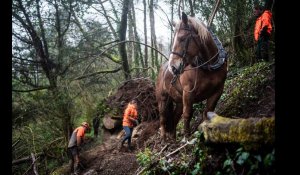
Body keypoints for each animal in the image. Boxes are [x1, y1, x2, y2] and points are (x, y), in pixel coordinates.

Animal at [155, 12, 227, 141]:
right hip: (162, 100)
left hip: (178, 101)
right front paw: (187, 137)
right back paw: (163, 138)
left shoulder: (218, 90)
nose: (173, 67)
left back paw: (173, 138)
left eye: (182, 38)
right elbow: (188, 114)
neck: (209, 66)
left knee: (174, 118)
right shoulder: (188, 93)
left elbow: (208, 111)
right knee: (163, 119)